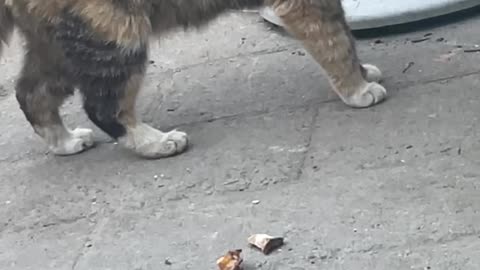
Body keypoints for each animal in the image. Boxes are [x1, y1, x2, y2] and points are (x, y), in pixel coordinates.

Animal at [0, 0, 386, 159]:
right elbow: (334, 40)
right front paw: (356, 88)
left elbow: (343, 32)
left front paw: (361, 73)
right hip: (114, 32)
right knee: (103, 106)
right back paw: (155, 143)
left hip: (61, 44)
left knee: (31, 92)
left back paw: (64, 142)